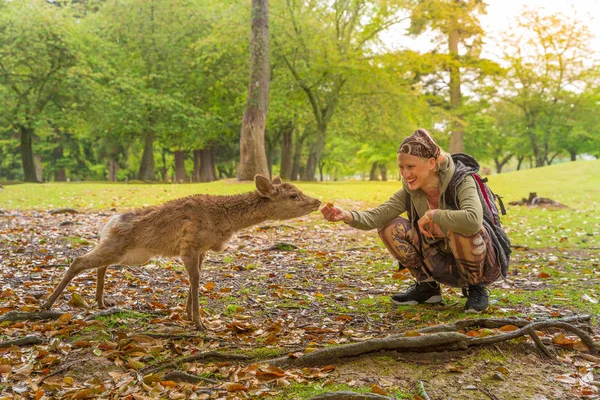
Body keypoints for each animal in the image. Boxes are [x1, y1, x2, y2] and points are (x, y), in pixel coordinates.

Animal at [41, 175, 324, 328]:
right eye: (293, 195)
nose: (318, 201)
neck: (224, 221)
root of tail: (108, 224)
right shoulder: (189, 243)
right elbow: (195, 279)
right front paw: (200, 323)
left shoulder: (202, 249)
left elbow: (195, 279)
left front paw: (189, 315)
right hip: (119, 247)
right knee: (78, 260)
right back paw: (47, 304)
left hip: (129, 253)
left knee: (100, 264)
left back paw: (101, 302)